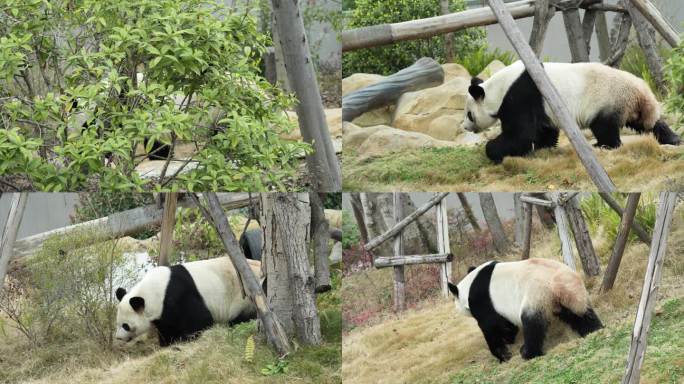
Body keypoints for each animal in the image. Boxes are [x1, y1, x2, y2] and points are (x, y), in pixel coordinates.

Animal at [116, 256, 260, 346]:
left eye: (125, 325)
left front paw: (184, 339)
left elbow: (201, 319)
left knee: (242, 317)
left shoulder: (177, 296)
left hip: (244, 298)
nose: (118, 337)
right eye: (117, 323)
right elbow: (167, 326)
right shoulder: (162, 311)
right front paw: (167, 342)